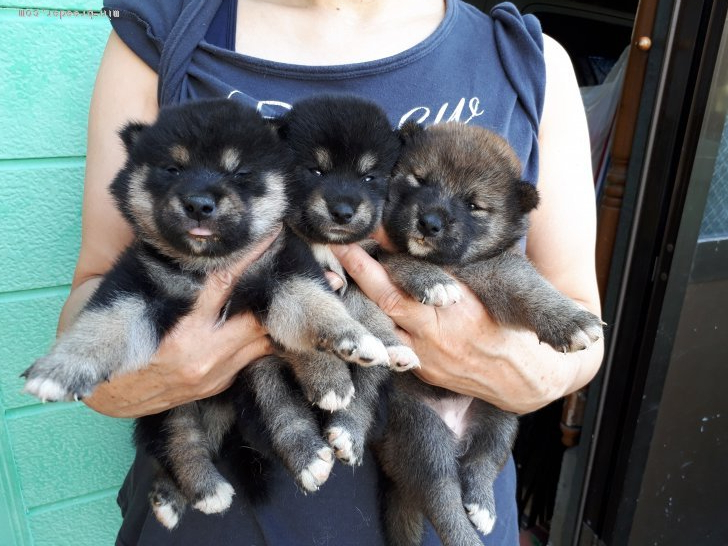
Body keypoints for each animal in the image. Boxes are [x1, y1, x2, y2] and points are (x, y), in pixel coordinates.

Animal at [376, 122, 604, 544]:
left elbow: (529, 288)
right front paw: (432, 281)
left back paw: (482, 505)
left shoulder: (499, 269)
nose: (429, 222)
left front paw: (569, 319)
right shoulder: (378, 248)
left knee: (481, 461)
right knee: (442, 496)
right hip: (419, 430)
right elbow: (402, 258)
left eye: (474, 205)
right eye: (419, 180)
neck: (456, 265)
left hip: (501, 413)